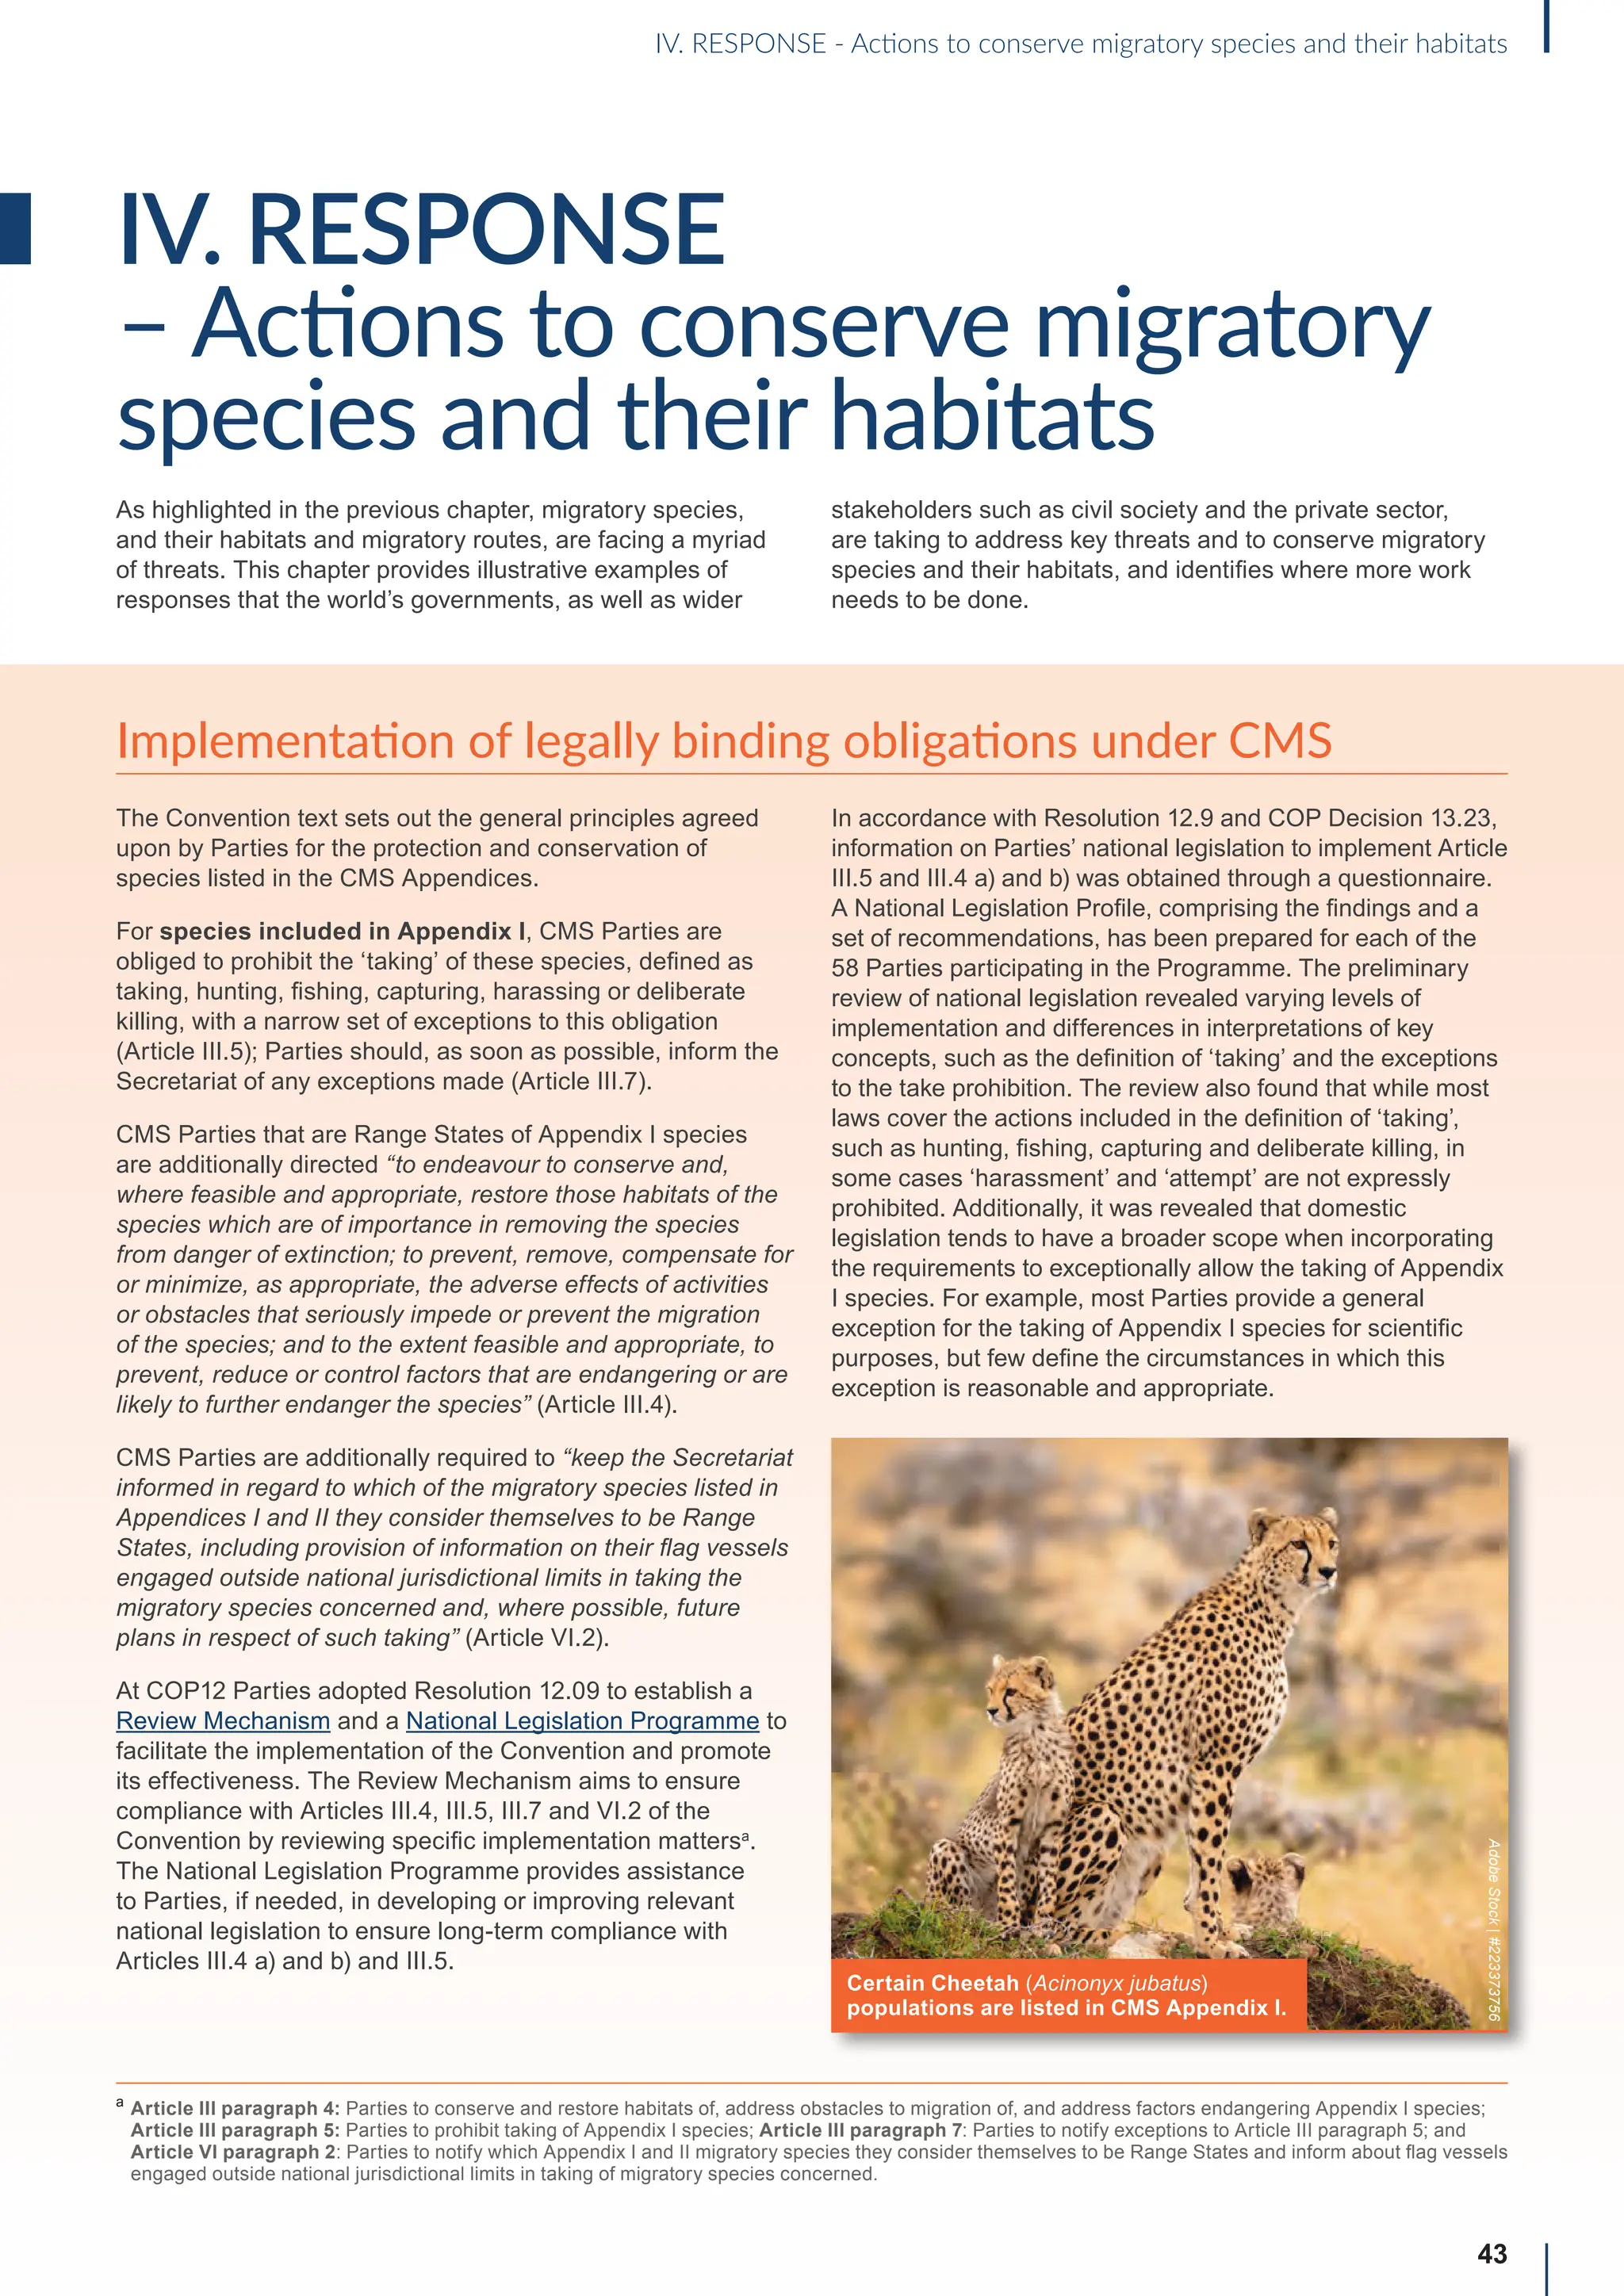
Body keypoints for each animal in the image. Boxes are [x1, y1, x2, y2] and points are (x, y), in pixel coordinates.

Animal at [927, 1655, 1072, 1934]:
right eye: (990, 1690)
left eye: (1011, 1691)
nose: (991, 1711)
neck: (1035, 1734)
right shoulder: (1007, 1823)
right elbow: (1006, 1879)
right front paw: (1009, 1923)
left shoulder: (1053, 1827)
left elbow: (1049, 1880)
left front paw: (1044, 1924)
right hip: (945, 1851)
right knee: (952, 1910)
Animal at [1047, 1507, 1340, 1958]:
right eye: (1299, 1544)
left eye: (1332, 1543)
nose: (1329, 1571)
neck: (1271, 1607)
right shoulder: (1216, 1766)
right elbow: (1210, 1859)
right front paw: (1212, 1942)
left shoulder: (1201, 1776)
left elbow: (1201, 1860)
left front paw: (1222, 1930)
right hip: (1102, 1817)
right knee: (1049, 1924)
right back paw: (1109, 1937)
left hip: (1150, 1845)